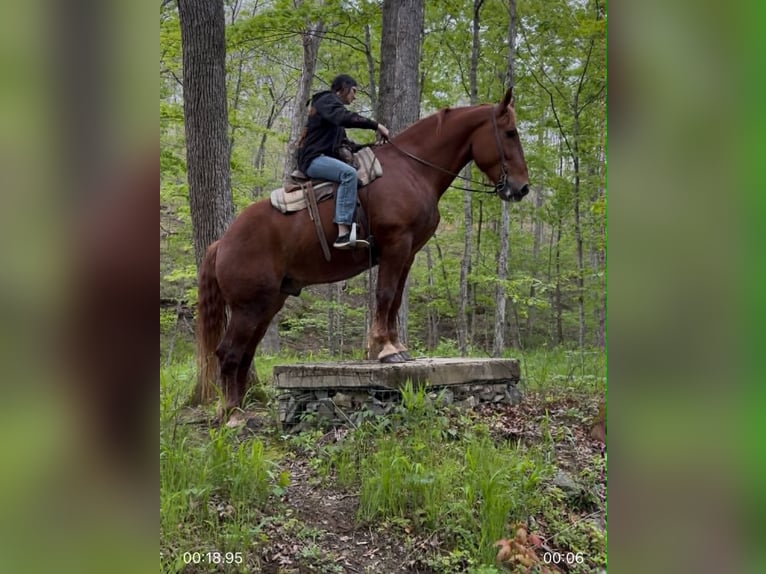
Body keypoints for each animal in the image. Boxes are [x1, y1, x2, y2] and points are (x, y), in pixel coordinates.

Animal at [196, 87, 529, 411]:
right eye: (510, 132)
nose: (522, 188)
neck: (412, 169)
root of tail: (223, 242)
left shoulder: (407, 253)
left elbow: (395, 300)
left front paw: (397, 347)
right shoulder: (395, 245)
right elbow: (384, 295)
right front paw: (385, 349)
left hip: (268, 303)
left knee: (245, 353)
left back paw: (239, 410)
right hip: (247, 307)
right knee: (228, 353)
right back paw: (231, 414)